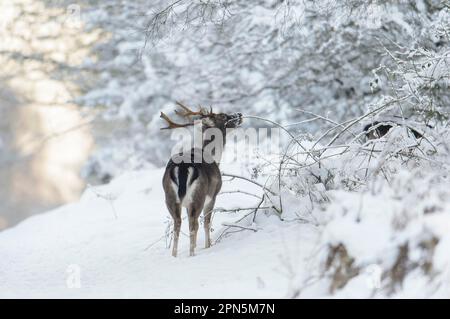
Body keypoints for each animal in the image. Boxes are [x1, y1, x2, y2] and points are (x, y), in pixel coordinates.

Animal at [159, 102, 241, 258]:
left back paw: (174, 255)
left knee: (177, 224)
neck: (214, 156)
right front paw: (208, 246)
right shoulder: (213, 195)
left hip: (170, 197)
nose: (239, 114)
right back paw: (192, 254)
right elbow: (207, 223)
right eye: (223, 116)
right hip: (199, 195)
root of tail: (182, 167)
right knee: (193, 224)